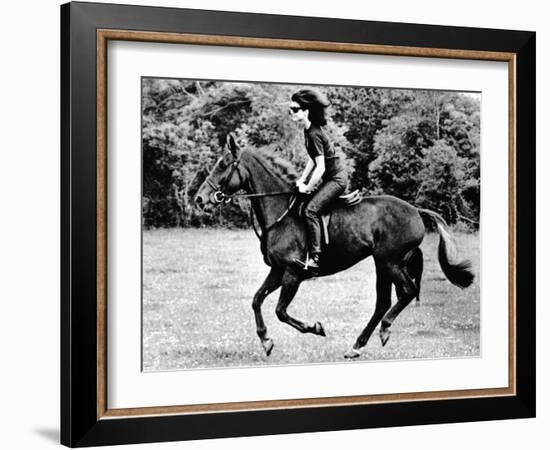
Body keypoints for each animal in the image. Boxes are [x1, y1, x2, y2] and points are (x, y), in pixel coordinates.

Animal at [194, 134, 474, 358]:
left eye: (223, 164)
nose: (199, 198)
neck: (280, 213)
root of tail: (416, 211)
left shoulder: (293, 273)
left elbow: (281, 311)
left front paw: (315, 328)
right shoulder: (277, 271)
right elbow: (256, 300)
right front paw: (265, 340)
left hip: (390, 262)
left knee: (406, 291)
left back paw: (383, 329)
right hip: (382, 264)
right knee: (383, 302)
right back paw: (357, 346)